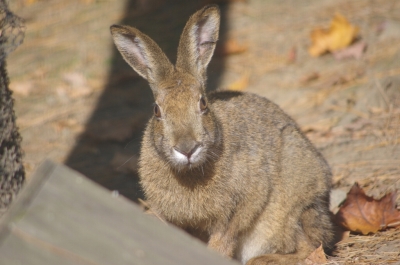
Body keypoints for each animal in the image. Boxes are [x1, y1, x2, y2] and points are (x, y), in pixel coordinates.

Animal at [110, 4, 334, 264]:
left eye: (203, 104)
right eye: (156, 110)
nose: (187, 148)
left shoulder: (241, 205)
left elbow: (223, 240)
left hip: (293, 204)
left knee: (310, 246)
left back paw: (263, 259)